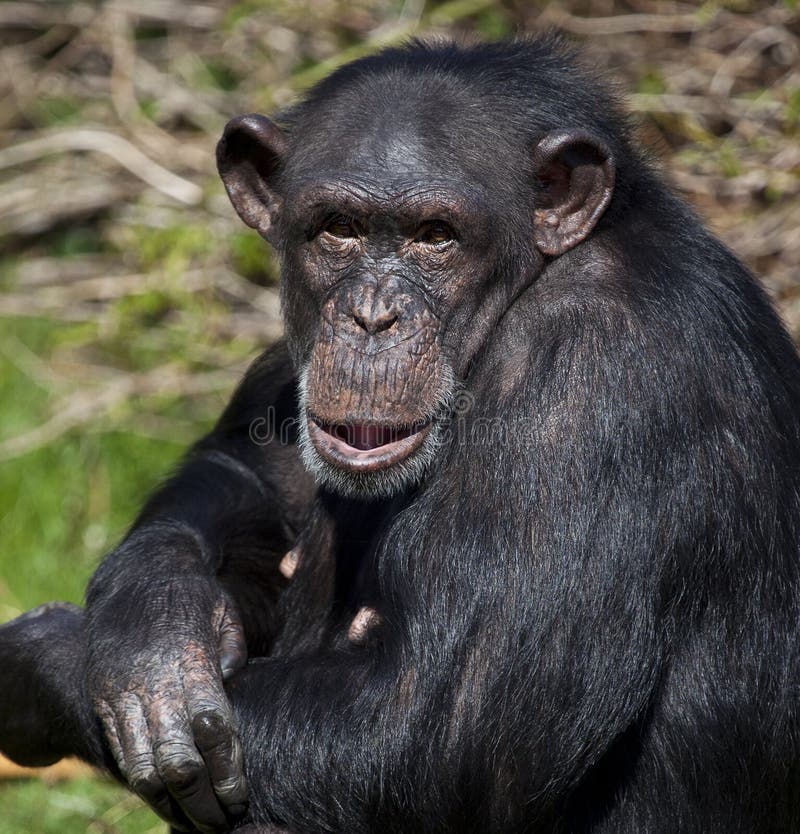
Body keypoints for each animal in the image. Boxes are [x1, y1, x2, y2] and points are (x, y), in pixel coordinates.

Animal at [1, 35, 800, 832]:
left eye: (434, 237)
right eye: (338, 229)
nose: (372, 316)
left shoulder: (592, 375)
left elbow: (426, 730)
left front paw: (41, 658)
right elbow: (252, 464)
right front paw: (154, 632)